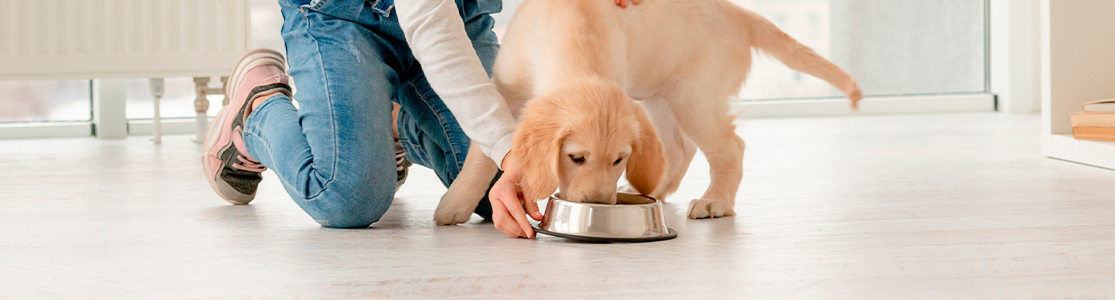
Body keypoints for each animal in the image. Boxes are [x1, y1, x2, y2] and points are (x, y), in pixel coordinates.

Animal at [430, 0, 856, 224]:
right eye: (576, 157)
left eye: (619, 160)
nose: (598, 205)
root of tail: (738, 13)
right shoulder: (503, 88)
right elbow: (482, 153)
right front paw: (456, 204)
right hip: (660, 95)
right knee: (679, 150)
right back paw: (653, 189)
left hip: (692, 95)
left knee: (729, 148)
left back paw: (715, 201)